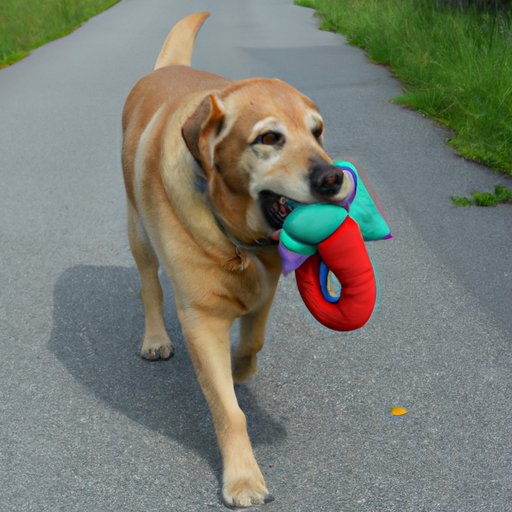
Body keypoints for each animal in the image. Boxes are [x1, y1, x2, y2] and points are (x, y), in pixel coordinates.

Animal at [121, 12, 352, 508]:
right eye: (269, 138)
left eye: (317, 131)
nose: (332, 177)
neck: (240, 239)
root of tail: (166, 69)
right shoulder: (201, 319)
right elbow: (229, 411)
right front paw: (243, 479)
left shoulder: (265, 289)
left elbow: (253, 342)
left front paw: (240, 369)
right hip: (138, 234)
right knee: (149, 287)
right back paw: (154, 337)